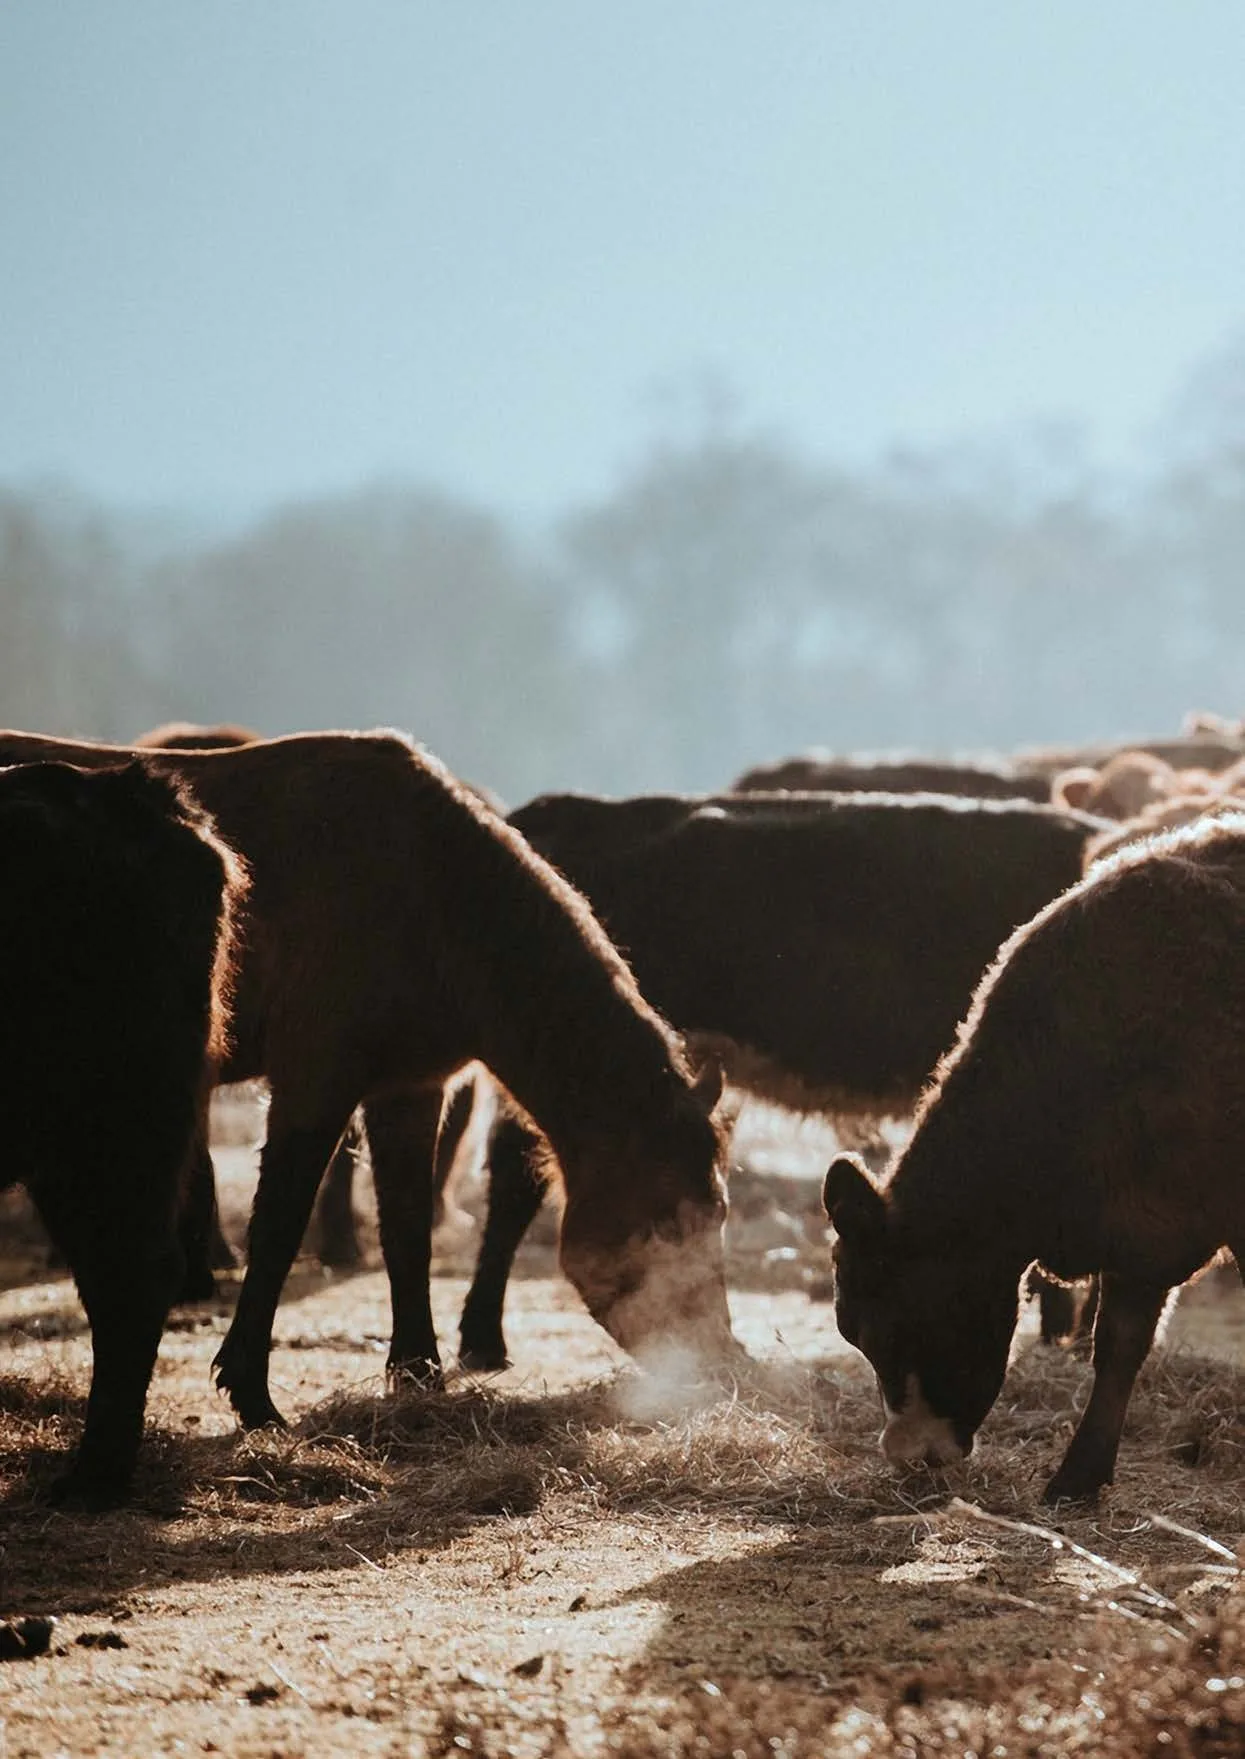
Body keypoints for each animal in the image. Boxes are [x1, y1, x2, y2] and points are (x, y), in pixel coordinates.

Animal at [824, 810, 1245, 1503]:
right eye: (851, 1331)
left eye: (884, 1327)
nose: (908, 1456)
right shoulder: (1141, 1229)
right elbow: (1118, 1345)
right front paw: (1079, 1476)